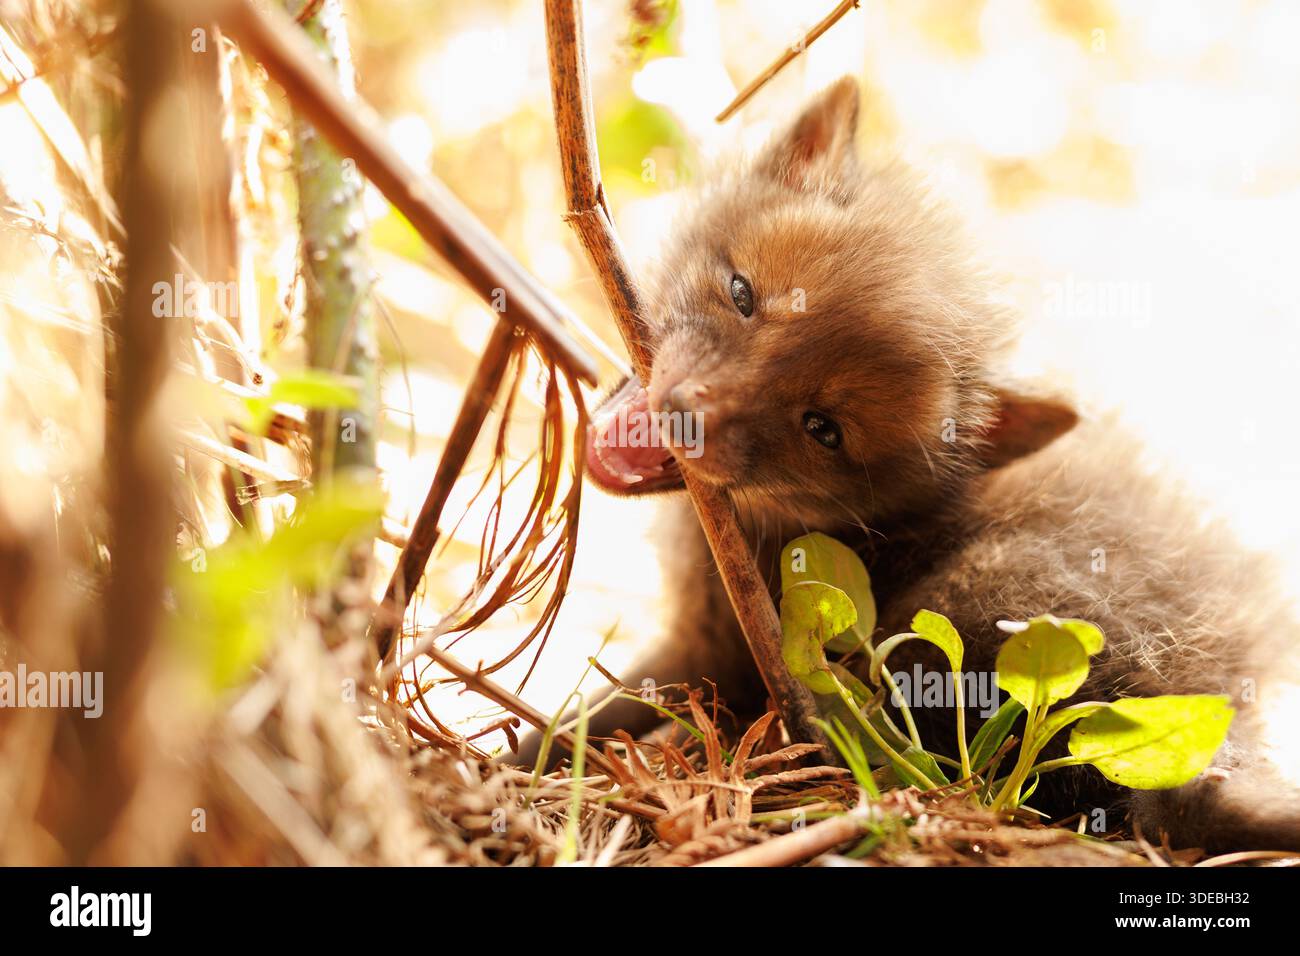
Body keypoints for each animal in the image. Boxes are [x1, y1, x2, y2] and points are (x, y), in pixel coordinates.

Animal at [513, 77, 1300, 853]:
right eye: (742, 294)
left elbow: (585, 714)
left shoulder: (713, 647)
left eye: (823, 429)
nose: (685, 410)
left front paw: (515, 751)